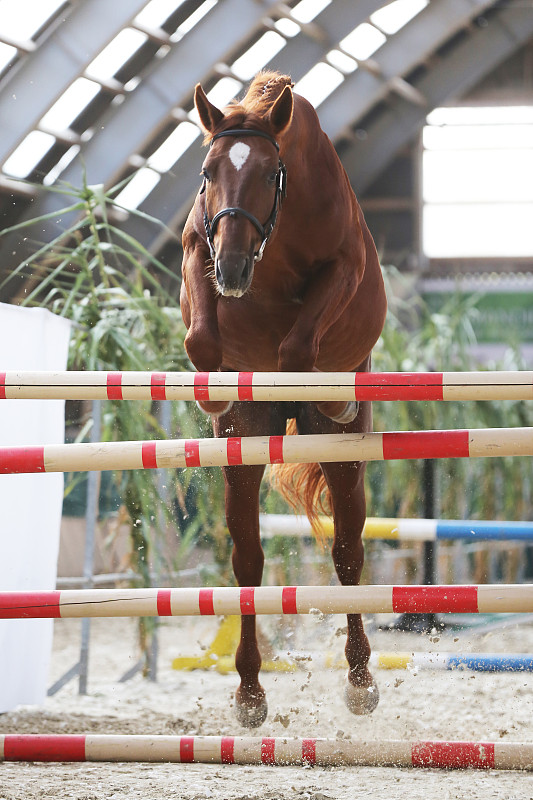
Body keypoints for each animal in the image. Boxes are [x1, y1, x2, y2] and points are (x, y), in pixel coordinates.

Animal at [181, 72, 384, 728]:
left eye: (271, 174)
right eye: (207, 171)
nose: (234, 269)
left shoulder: (343, 267)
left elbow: (298, 346)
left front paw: (324, 390)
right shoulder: (199, 246)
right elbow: (201, 336)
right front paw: (214, 396)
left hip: (346, 462)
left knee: (348, 555)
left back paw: (360, 680)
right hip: (242, 461)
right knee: (248, 560)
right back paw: (249, 691)